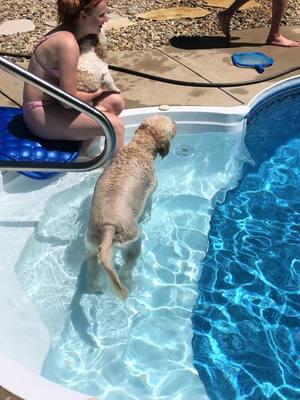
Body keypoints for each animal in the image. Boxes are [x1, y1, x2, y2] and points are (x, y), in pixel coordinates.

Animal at [84, 114, 176, 298]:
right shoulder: (150, 194)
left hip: (91, 246)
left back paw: (96, 286)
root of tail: (108, 226)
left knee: (93, 265)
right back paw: (130, 283)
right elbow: (148, 209)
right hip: (133, 243)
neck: (140, 146)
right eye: (172, 124)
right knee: (127, 267)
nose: (177, 124)